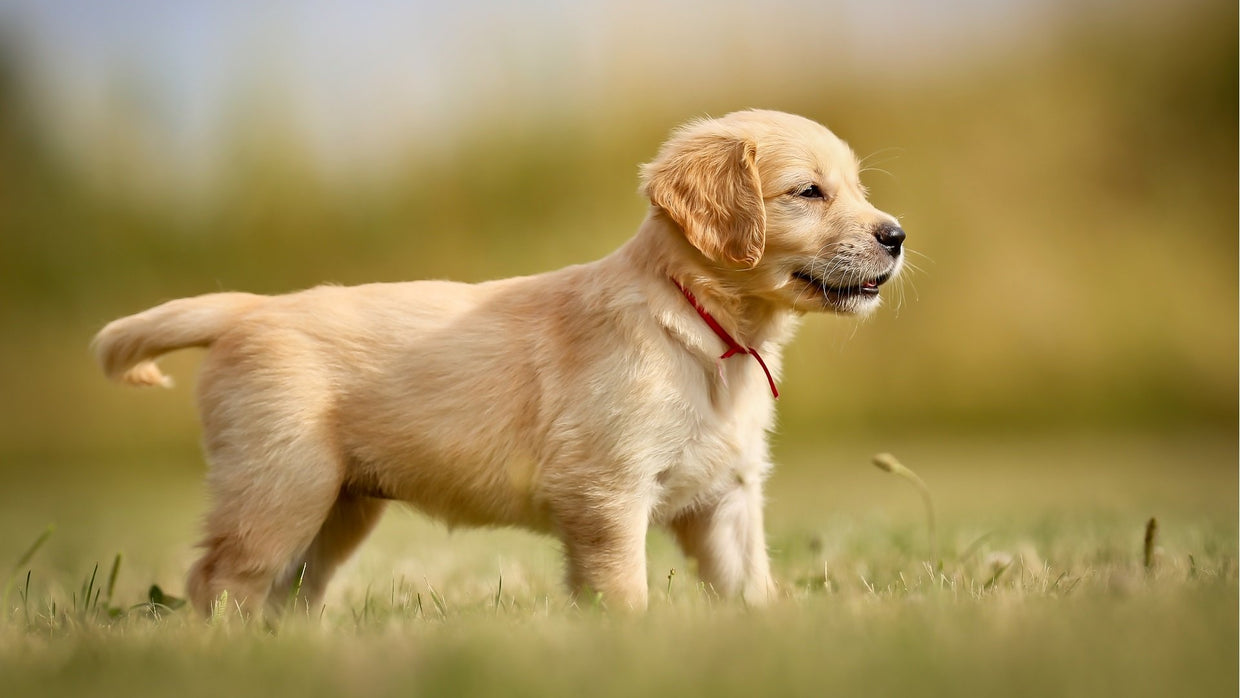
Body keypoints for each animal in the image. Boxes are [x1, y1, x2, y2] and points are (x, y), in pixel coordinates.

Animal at [94, 106, 902, 614]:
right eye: (809, 192)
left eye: (859, 189)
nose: (896, 235)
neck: (704, 329)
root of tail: (247, 309)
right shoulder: (606, 493)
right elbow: (624, 592)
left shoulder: (727, 497)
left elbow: (751, 590)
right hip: (279, 485)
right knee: (219, 580)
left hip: (336, 507)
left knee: (285, 593)